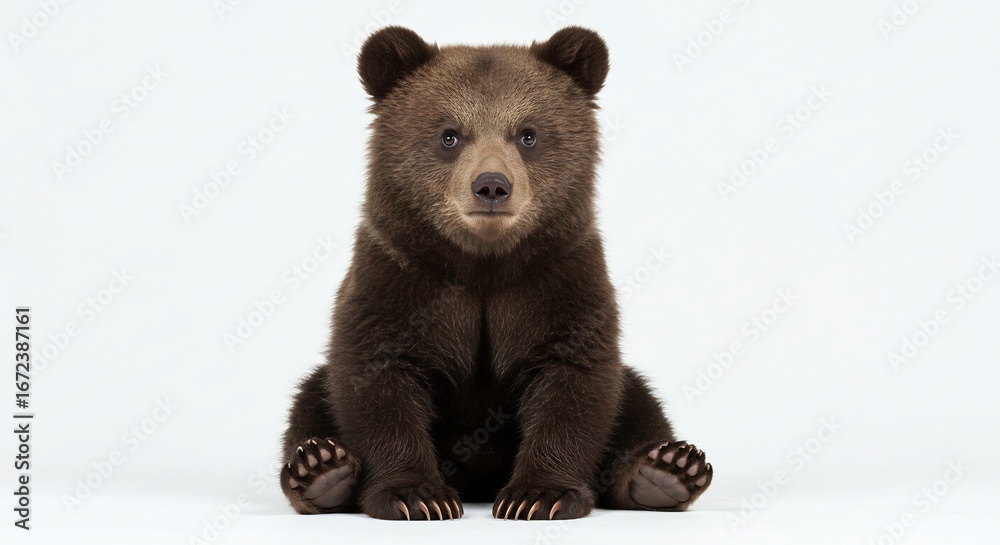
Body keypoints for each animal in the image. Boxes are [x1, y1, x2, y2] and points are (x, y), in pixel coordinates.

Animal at [279, 25, 713, 521]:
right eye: (449, 135)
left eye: (528, 134)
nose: (491, 185)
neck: (483, 263)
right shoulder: (399, 273)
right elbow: (377, 374)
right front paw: (417, 495)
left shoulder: (559, 276)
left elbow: (574, 378)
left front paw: (538, 495)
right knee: (310, 396)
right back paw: (321, 469)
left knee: (638, 397)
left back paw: (666, 471)